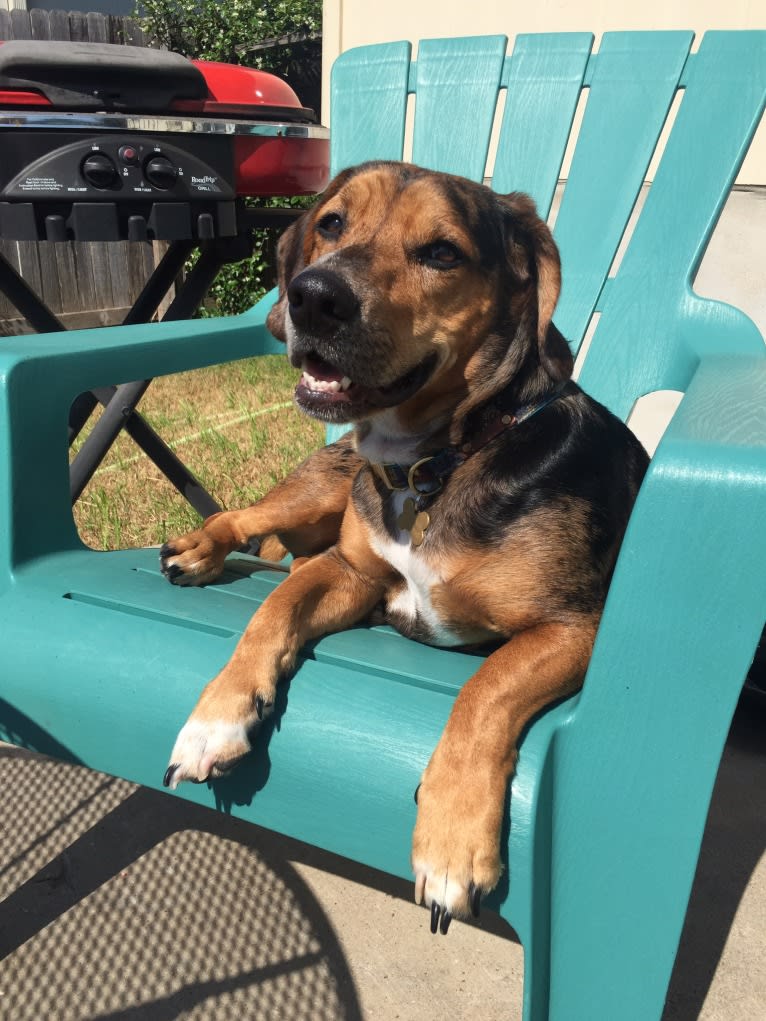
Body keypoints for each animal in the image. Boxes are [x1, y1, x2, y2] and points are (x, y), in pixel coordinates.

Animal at [159, 159, 649, 935]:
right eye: (332, 223)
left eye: (442, 253)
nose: (313, 296)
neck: (437, 462)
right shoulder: (350, 572)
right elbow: (270, 612)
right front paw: (215, 719)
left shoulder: (575, 625)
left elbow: (487, 685)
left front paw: (450, 843)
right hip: (320, 489)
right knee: (249, 517)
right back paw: (201, 547)